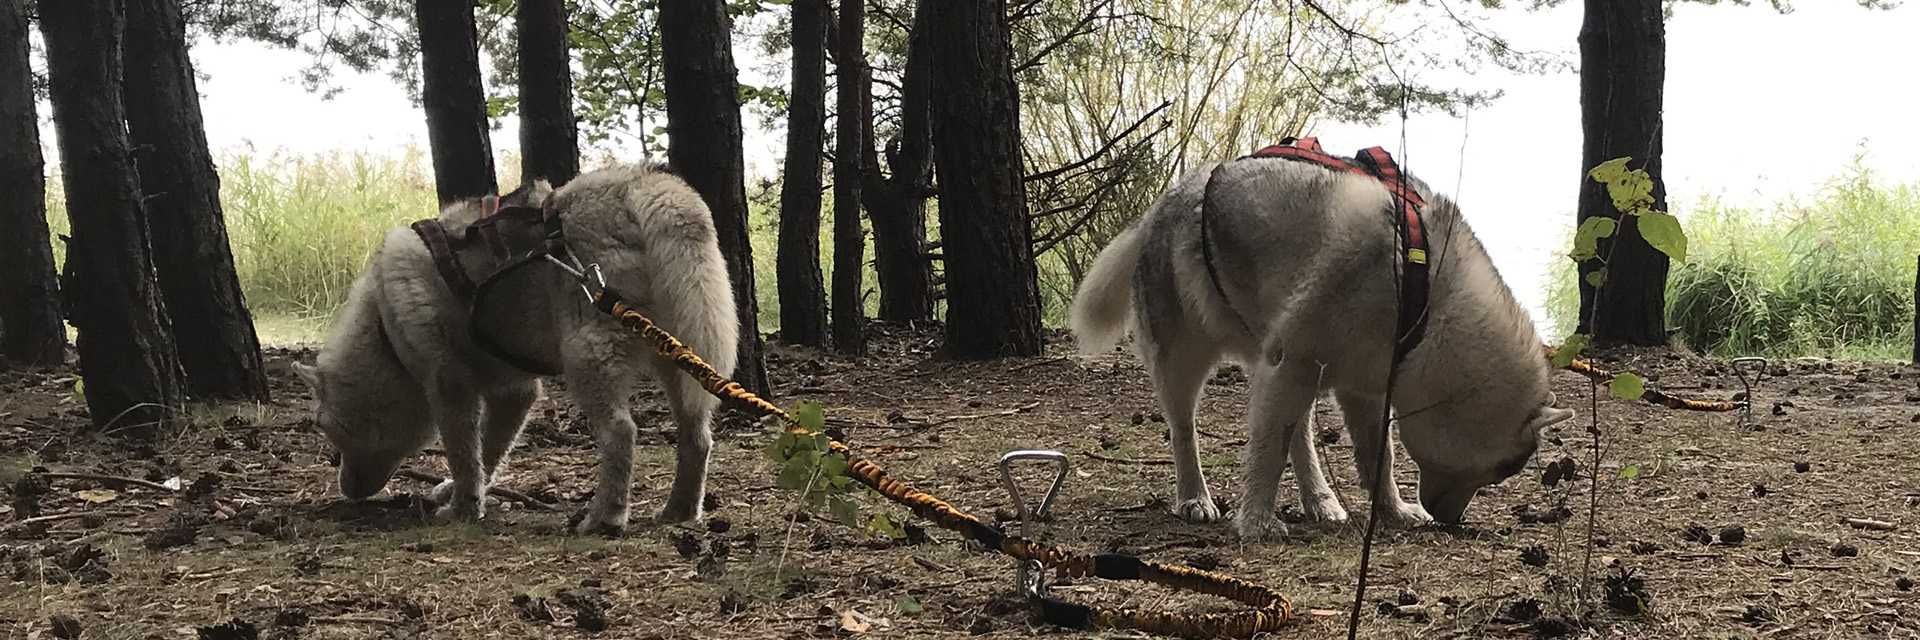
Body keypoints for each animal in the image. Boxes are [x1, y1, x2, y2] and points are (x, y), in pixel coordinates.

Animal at [295, 164, 737, 534]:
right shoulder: (515, 392)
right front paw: (460, 493)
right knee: (698, 438)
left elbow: (463, 453)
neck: (386, 336)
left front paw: (462, 508)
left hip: (588, 360)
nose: (346, 490)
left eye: (328, 429)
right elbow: (487, 454)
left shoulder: (450, 386)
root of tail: (645, 183)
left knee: (621, 433)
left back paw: (605, 517)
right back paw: (679, 511)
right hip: (681, 365)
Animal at [1067, 155, 1574, 538]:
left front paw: (1392, 510)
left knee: (1300, 435)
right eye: (1504, 469)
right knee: (1185, 429)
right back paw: (1194, 496)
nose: (1449, 519)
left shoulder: (1362, 387)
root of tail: (1163, 202)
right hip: (1188, 362)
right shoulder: (1294, 362)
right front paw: (1256, 522)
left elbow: (1379, 458)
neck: (1426, 298)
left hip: (1293, 372)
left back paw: (1320, 501)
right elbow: (1268, 454)